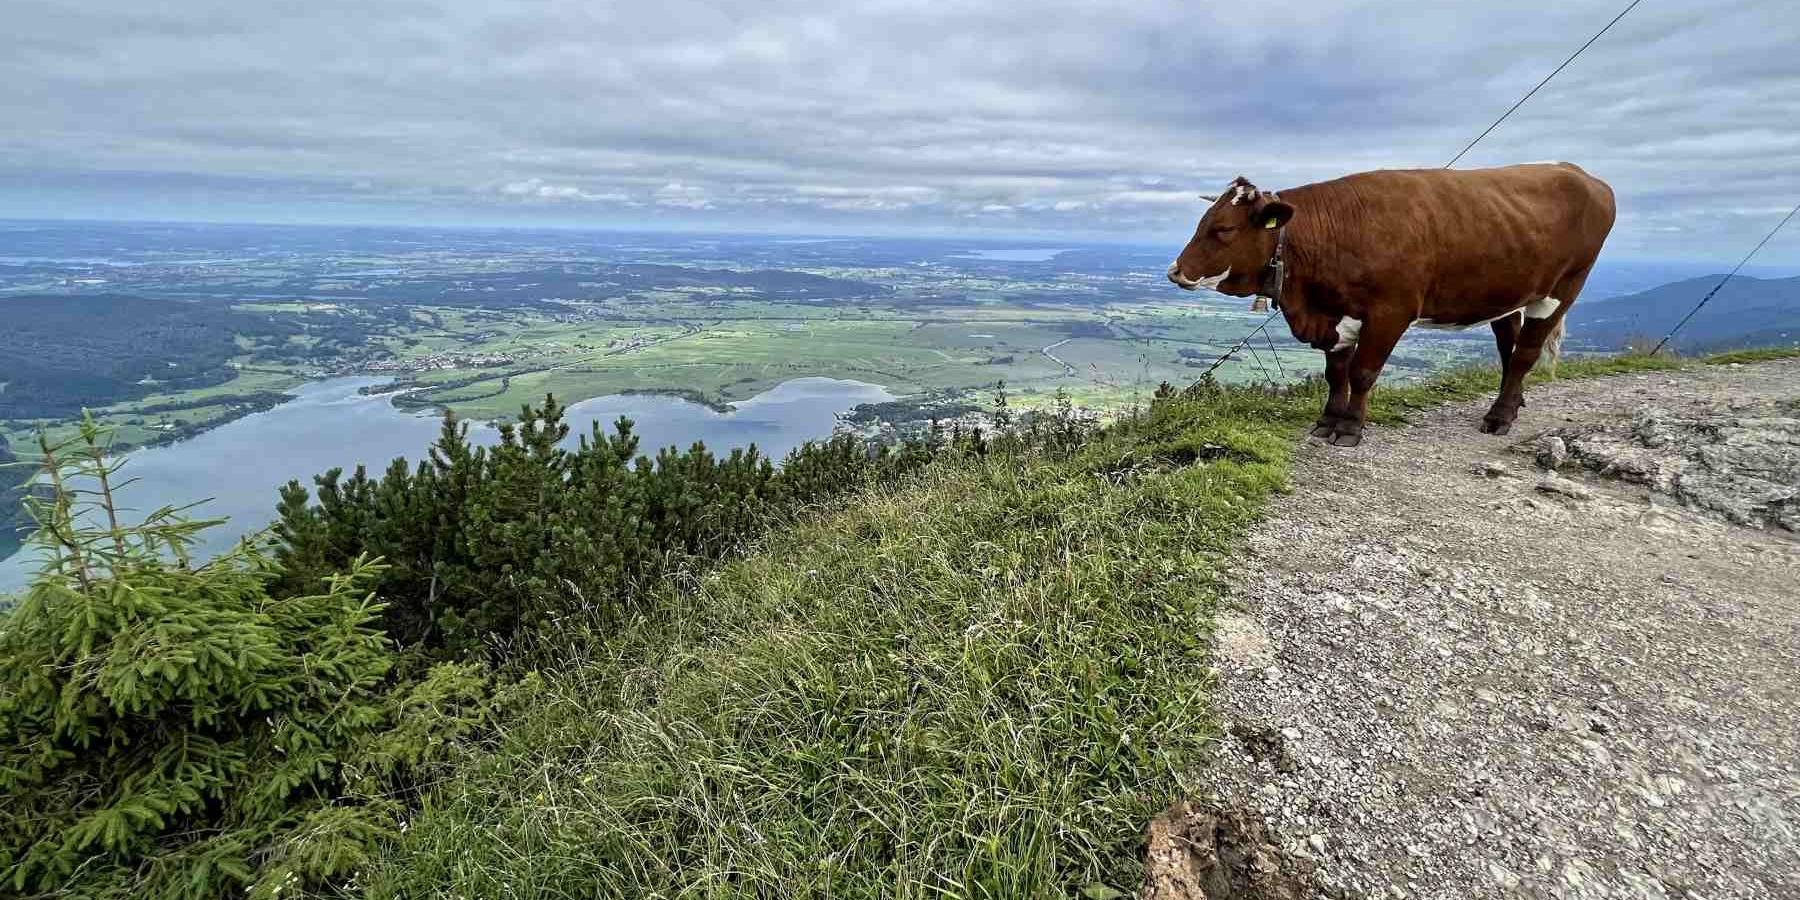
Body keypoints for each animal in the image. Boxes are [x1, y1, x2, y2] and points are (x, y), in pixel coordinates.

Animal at [1167, 163, 1616, 447]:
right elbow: (1336, 374)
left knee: (1524, 353)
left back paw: (1500, 416)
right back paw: (1514, 401)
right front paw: (1327, 420)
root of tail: (1583, 175)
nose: (1176, 271)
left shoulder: (1390, 312)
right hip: (1507, 294)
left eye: (1223, 229)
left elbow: (1363, 373)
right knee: (1509, 346)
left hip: (1562, 289)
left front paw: (1350, 428)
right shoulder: (1336, 314)